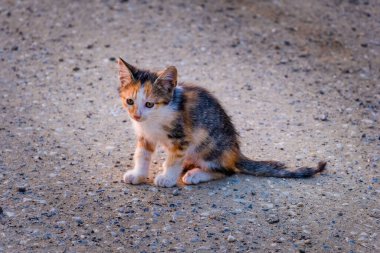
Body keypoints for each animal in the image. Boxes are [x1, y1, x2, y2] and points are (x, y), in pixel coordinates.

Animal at [117, 57, 326, 188]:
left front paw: (167, 178)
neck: (154, 119)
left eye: (149, 104)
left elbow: (174, 159)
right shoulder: (145, 136)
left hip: (207, 144)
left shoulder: (181, 138)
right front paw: (138, 174)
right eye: (130, 101)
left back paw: (196, 174)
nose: (137, 116)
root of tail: (235, 151)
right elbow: (142, 155)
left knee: (227, 170)